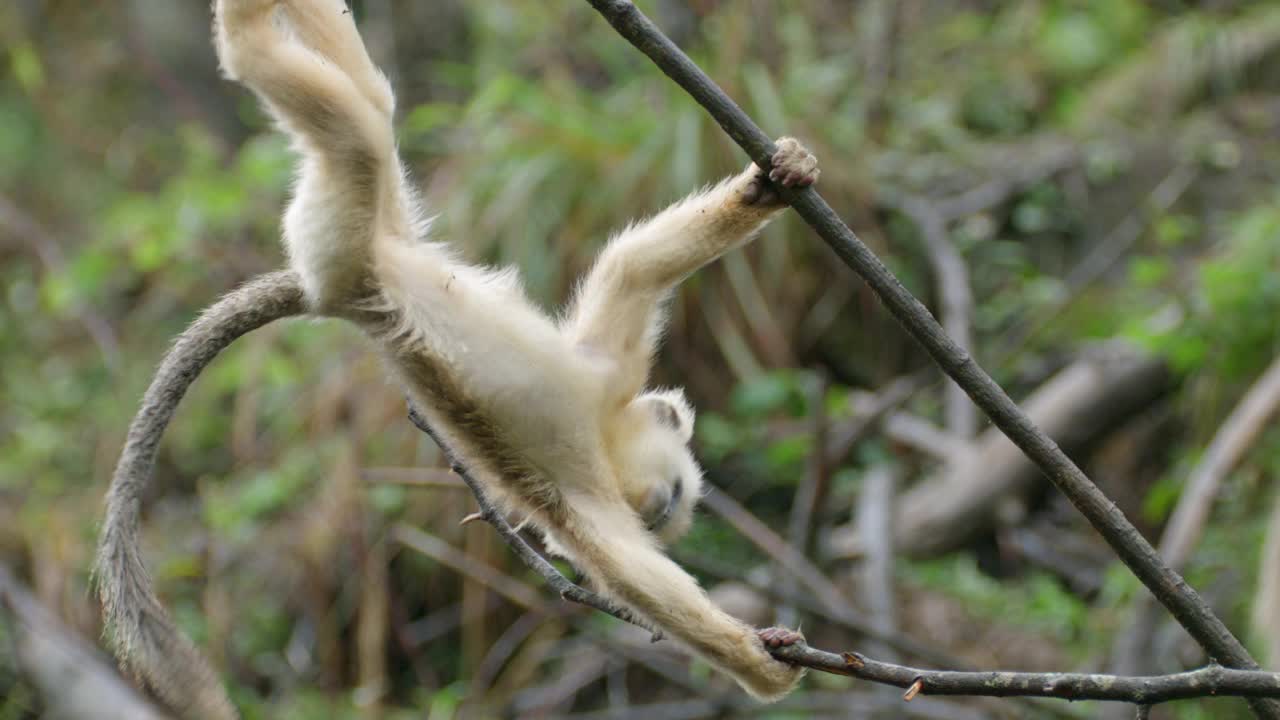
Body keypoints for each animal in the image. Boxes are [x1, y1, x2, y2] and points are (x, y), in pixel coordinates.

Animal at [99, 1, 819, 712]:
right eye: (668, 500)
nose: (664, 509)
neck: (606, 433)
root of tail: (334, 295)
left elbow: (634, 269)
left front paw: (770, 185)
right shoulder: (588, 475)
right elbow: (630, 571)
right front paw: (761, 660)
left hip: (377, 226)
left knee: (373, 104)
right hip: (342, 245)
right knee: (346, 125)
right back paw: (245, 25)